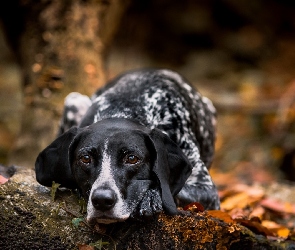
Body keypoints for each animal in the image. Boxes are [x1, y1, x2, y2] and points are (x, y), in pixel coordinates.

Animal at [35, 69, 220, 225]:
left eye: (132, 158)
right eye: (85, 158)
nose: (102, 200)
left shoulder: (207, 190)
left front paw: (151, 196)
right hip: (73, 100)